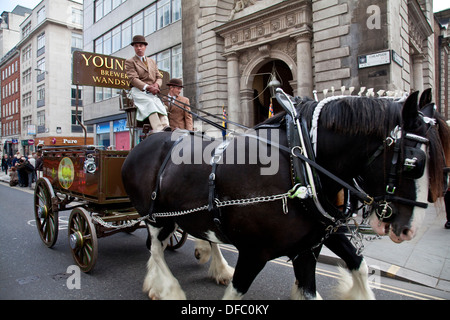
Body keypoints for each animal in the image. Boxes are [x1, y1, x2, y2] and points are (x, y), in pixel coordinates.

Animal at [121, 90, 448, 300]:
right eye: (413, 164)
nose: (407, 230)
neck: (302, 159)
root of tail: (143, 143)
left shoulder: (313, 244)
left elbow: (357, 264)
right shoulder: (254, 252)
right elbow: (237, 291)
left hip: (194, 213)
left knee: (198, 234)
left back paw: (213, 263)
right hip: (155, 216)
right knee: (155, 248)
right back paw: (165, 288)